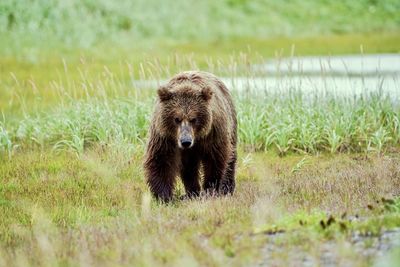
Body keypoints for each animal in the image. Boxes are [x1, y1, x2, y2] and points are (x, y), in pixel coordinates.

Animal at [144, 70, 238, 202]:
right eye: (176, 119)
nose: (186, 141)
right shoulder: (164, 135)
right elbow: (161, 159)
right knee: (189, 168)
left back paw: (227, 188)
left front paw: (210, 189)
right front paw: (164, 196)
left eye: (193, 119)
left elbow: (214, 159)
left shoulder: (213, 132)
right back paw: (191, 193)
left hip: (230, 122)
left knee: (231, 156)